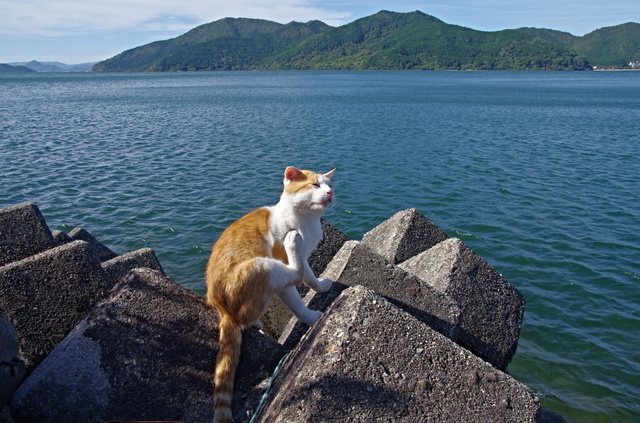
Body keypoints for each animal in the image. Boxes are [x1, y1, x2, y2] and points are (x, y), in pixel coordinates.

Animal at [206, 166, 338, 423]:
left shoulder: (306, 259)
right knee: (294, 273)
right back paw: (291, 242)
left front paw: (321, 287)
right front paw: (311, 318)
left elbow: (310, 277)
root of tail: (225, 312)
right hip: (263, 267)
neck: (306, 221)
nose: (329, 192)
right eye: (315, 185)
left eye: (330, 185)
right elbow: (298, 299)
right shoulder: (285, 278)